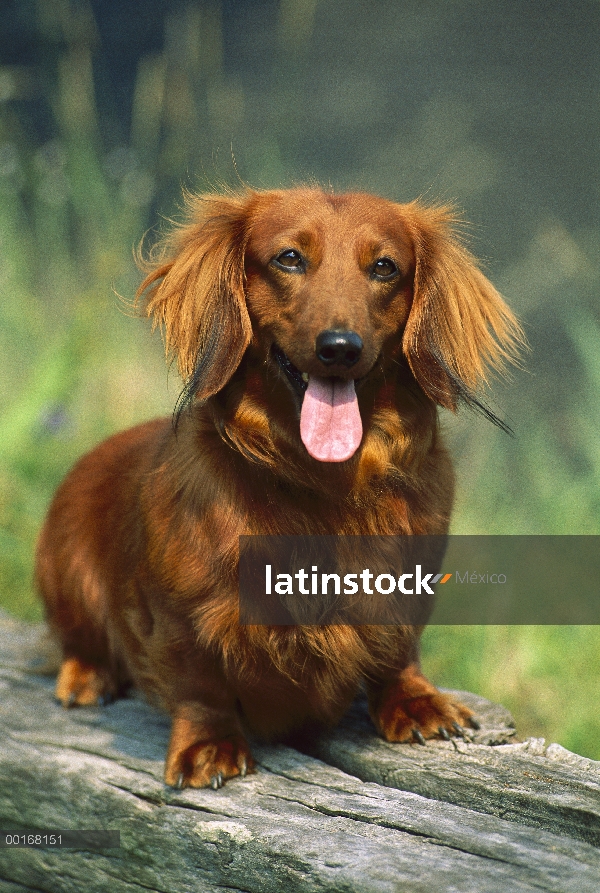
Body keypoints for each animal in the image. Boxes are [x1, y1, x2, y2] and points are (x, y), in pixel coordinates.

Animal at [36, 186, 520, 788]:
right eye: (289, 258)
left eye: (385, 267)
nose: (340, 347)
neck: (324, 484)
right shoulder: (181, 618)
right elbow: (199, 685)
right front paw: (208, 744)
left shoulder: (409, 583)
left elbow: (399, 650)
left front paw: (415, 701)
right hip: (65, 573)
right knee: (76, 640)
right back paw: (87, 676)